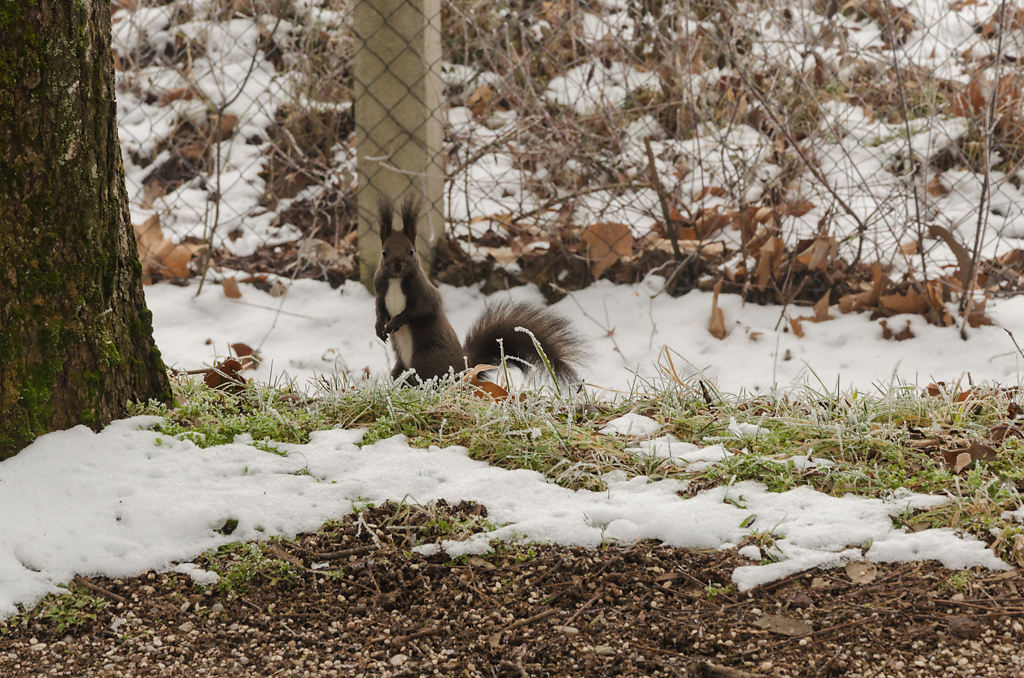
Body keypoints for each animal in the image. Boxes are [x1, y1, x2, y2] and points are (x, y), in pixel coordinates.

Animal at [374, 197, 585, 387]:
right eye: (384, 252)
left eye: (411, 251)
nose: (397, 265)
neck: (396, 280)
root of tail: (464, 369)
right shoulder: (380, 290)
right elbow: (379, 310)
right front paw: (379, 328)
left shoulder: (424, 293)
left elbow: (420, 310)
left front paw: (396, 321)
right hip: (401, 368)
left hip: (426, 361)